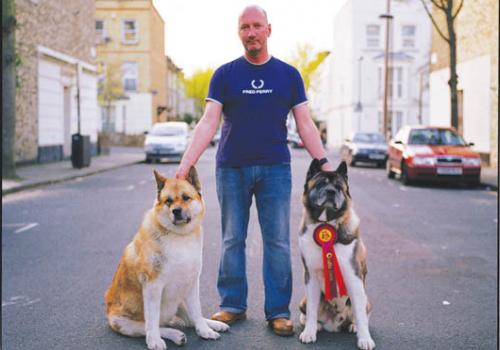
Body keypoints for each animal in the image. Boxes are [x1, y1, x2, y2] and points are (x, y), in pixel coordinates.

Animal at [107, 168, 230, 348]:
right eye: (168, 201)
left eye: (186, 197)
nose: (176, 211)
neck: (179, 236)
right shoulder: (153, 286)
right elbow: (151, 321)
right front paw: (154, 341)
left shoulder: (192, 282)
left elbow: (197, 311)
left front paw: (205, 331)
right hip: (122, 323)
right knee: (149, 327)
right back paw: (175, 335)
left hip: (179, 299)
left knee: (190, 319)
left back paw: (214, 324)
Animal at [296, 160, 376, 348]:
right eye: (320, 184)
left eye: (339, 187)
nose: (331, 191)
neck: (326, 223)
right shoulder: (310, 277)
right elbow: (311, 309)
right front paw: (309, 332)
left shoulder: (354, 278)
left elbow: (360, 315)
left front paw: (365, 339)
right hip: (303, 299)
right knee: (306, 311)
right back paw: (317, 326)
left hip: (366, 299)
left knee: (362, 313)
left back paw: (354, 326)